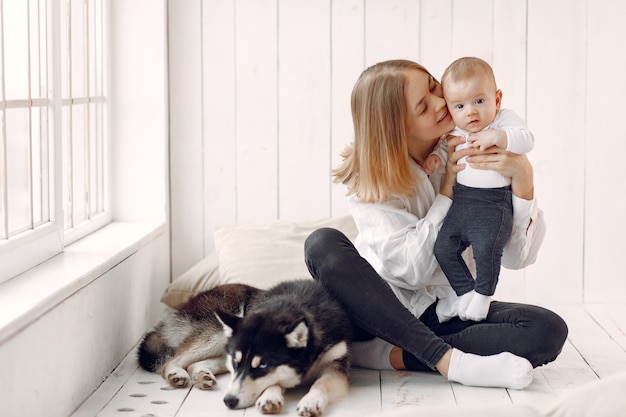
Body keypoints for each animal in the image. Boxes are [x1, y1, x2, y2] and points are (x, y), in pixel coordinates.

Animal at [138, 278, 352, 414]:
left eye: (263, 365)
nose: (229, 401)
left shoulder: (335, 365)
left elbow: (320, 383)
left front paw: (311, 401)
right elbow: (273, 381)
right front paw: (270, 397)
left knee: (195, 364)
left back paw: (202, 375)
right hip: (216, 335)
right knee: (172, 361)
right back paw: (176, 374)